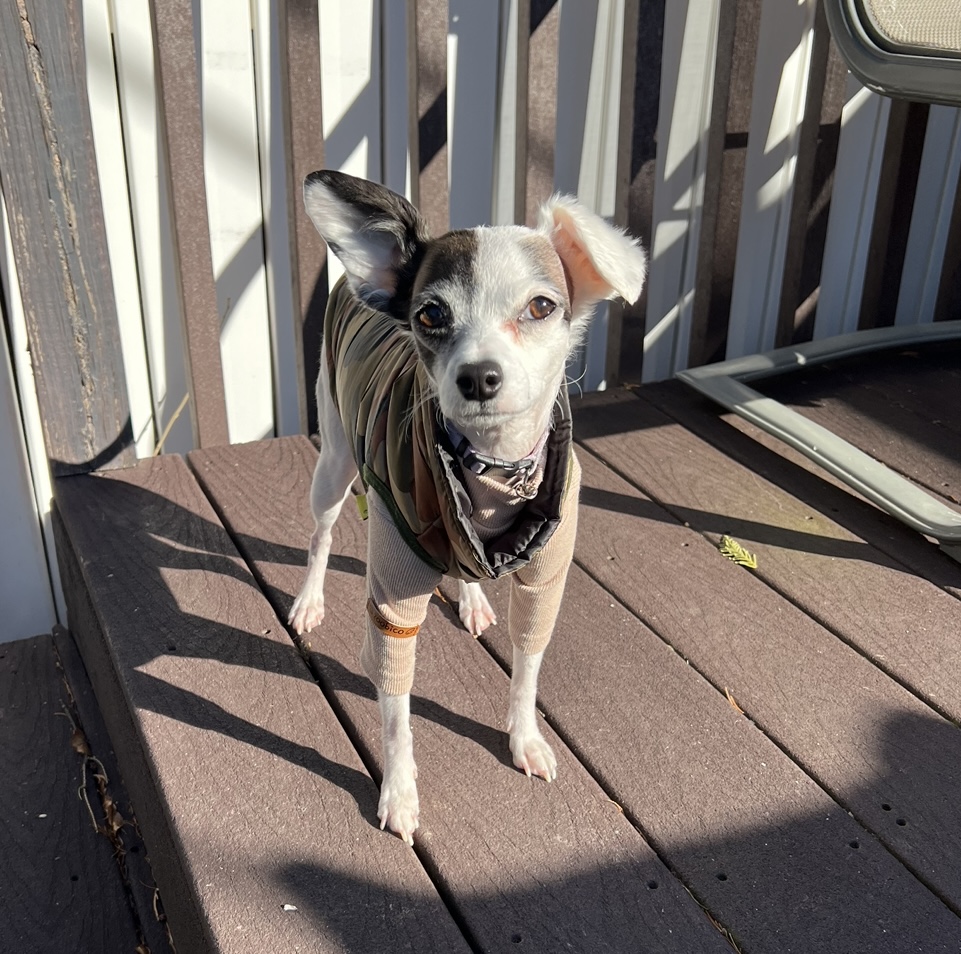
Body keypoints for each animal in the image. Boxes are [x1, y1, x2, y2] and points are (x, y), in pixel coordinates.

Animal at [286, 171, 644, 840]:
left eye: (540, 307)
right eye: (430, 314)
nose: (478, 376)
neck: (491, 477)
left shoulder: (544, 580)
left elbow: (527, 668)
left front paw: (524, 738)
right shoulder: (393, 603)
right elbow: (396, 712)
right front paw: (400, 791)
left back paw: (473, 596)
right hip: (336, 462)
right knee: (321, 534)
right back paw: (309, 600)